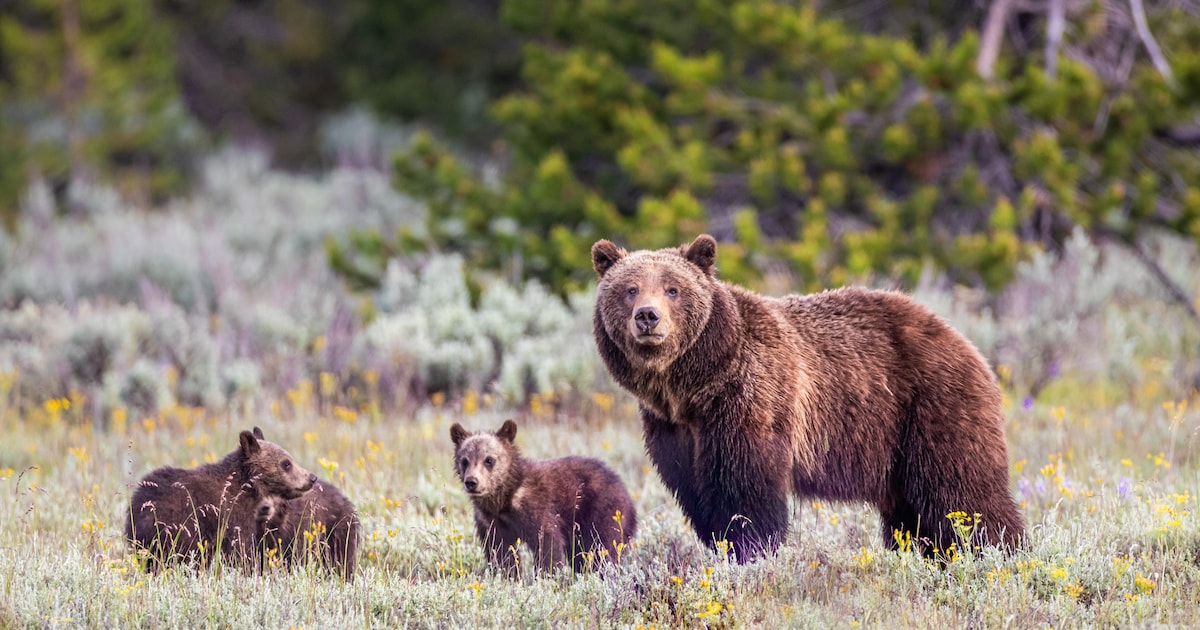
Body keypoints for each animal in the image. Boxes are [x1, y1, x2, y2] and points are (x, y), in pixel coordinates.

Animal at [590, 234, 1022, 559]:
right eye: (629, 289)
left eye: (673, 289)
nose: (648, 316)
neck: (691, 386)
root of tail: (965, 341)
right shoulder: (672, 428)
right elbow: (696, 492)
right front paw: (723, 544)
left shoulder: (751, 400)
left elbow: (746, 492)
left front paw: (752, 550)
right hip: (897, 449)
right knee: (912, 513)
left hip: (931, 406)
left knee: (963, 494)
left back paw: (999, 552)